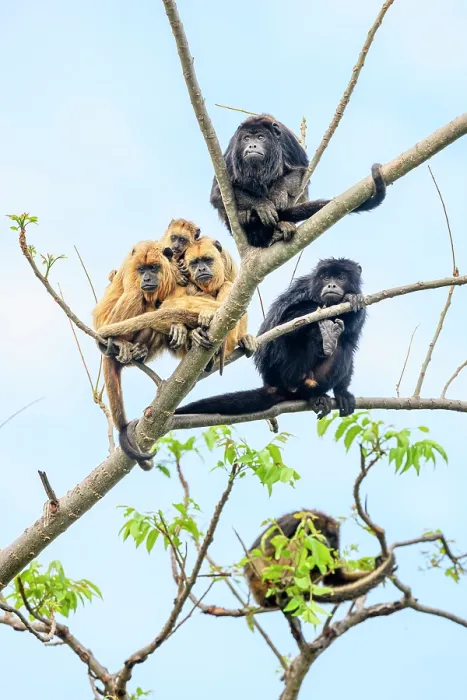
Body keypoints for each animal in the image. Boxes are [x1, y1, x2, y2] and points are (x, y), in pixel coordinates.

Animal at [174, 258, 364, 419]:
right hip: (288, 369)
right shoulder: (304, 289)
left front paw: (351, 297)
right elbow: (285, 322)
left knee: (346, 346)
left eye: (341, 277)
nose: (331, 284)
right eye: (325, 278)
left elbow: (353, 337)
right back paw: (326, 340)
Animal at [211, 114, 386, 248]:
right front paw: (262, 204)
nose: (252, 145)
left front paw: (278, 193)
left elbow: (300, 171)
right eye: (246, 138)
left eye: (261, 137)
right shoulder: (232, 151)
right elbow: (217, 193)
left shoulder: (288, 142)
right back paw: (245, 216)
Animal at [243, 509, 395, 644]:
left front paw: (379, 563)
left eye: (331, 536)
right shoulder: (292, 521)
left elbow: (335, 579)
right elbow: (258, 551)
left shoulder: (335, 544)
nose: (326, 543)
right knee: (298, 540)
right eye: (320, 533)